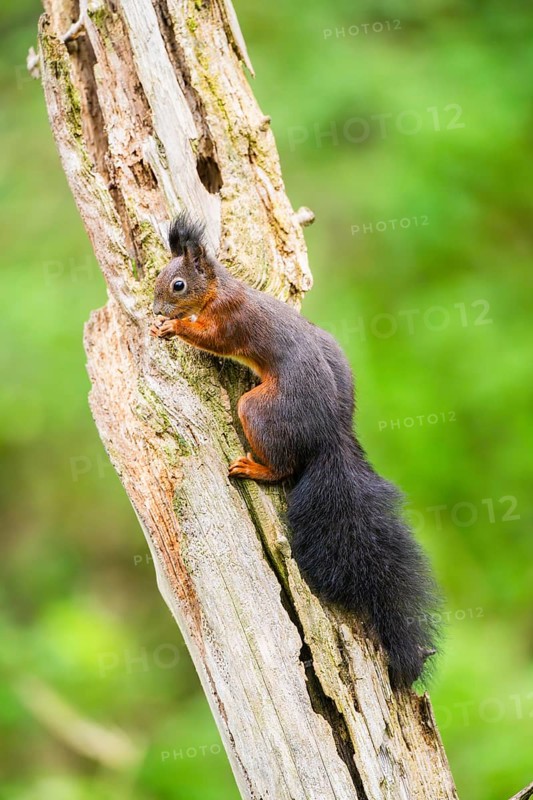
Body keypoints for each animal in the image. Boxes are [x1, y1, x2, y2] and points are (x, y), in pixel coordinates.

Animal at [150, 212, 440, 688]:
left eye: (177, 284)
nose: (155, 310)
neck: (219, 289)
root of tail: (331, 432)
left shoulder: (230, 320)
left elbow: (212, 338)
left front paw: (173, 328)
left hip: (259, 409)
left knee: (283, 467)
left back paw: (253, 468)